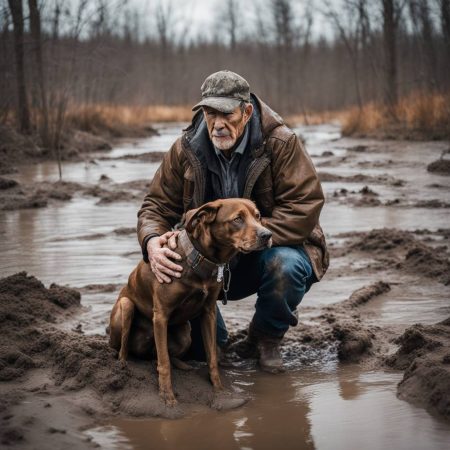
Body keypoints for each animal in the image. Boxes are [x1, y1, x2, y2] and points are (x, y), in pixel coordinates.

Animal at [109, 199, 270, 406]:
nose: (267, 235)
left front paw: (220, 391)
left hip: (185, 334)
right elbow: (164, 363)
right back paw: (121, 368)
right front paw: (167, 397)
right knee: (124, 350)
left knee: (158, 355)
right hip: (126, 307)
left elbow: (211, 358)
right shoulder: (161, 316)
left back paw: (183, 365)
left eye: (258, 216)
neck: (200, 259)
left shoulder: (208, 312)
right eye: (237, 219)